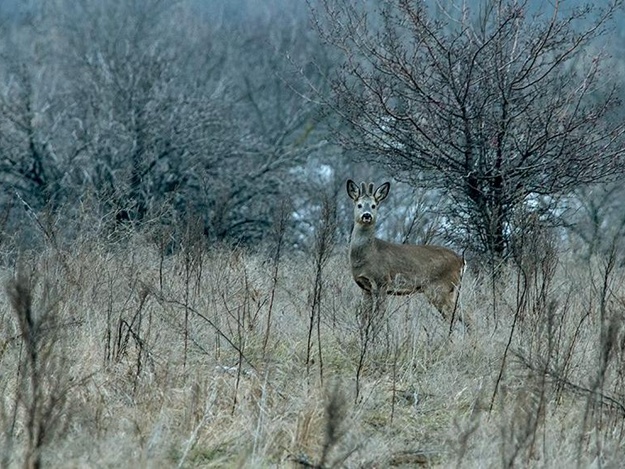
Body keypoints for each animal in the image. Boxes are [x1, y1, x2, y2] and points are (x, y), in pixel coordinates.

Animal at [346, 179, 468, 330]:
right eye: (359, 205)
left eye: (374, 205)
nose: (367, 215)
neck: (368, 254)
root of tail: (461, 260)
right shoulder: (365, 287)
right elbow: (364, 317)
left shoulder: (382, 282)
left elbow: (378, 316)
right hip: (450, 290)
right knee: (465, 315)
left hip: (440, 288)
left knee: (452, 316)